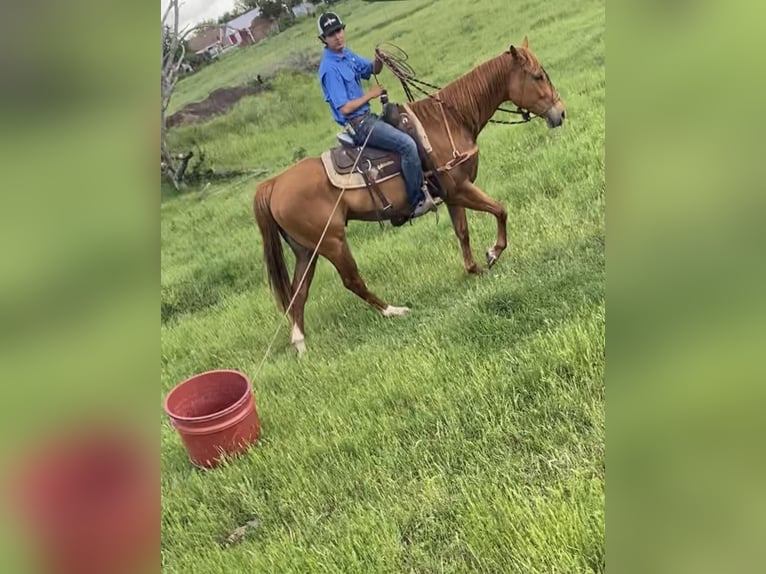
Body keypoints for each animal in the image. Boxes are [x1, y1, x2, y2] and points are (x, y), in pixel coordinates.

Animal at [255, 37, 568, 356]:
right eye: (537, 76)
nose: (560, 113)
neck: (448, 121)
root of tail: (273, 184)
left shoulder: (452, 196)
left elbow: (463, 231)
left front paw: (474, 269)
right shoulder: (460, 188)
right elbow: (500, 209)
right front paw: (493, 253)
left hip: (307, 249)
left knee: (298, 292)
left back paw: (300, 344)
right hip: (333, 241)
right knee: (351, 280)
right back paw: (393, 311)